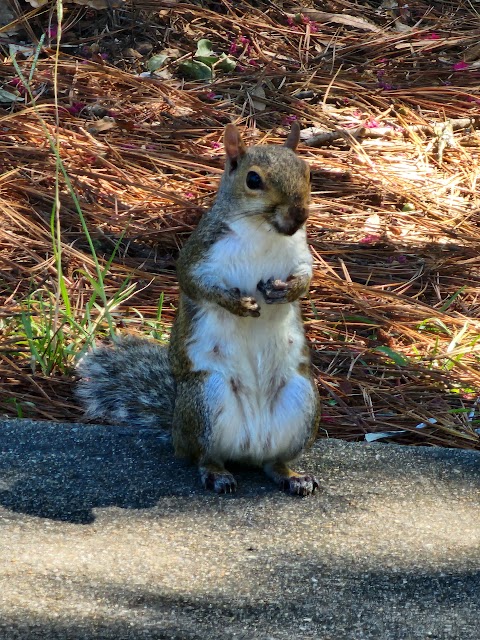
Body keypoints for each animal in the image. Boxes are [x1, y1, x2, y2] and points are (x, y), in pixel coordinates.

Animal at [77, 122, 320, 498]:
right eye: (253, 179)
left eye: (308, 172)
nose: (298, 215)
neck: (264, 232)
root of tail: (250, 447)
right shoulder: (200, 254)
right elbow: (195, 285)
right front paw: (237, 303)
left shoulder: (300, 255)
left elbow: (306, 280)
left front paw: (287, 291)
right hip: (205, 398)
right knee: (204, 456)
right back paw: (217, 474)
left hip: (301, 399)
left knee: (273, 462)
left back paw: (292, 475)